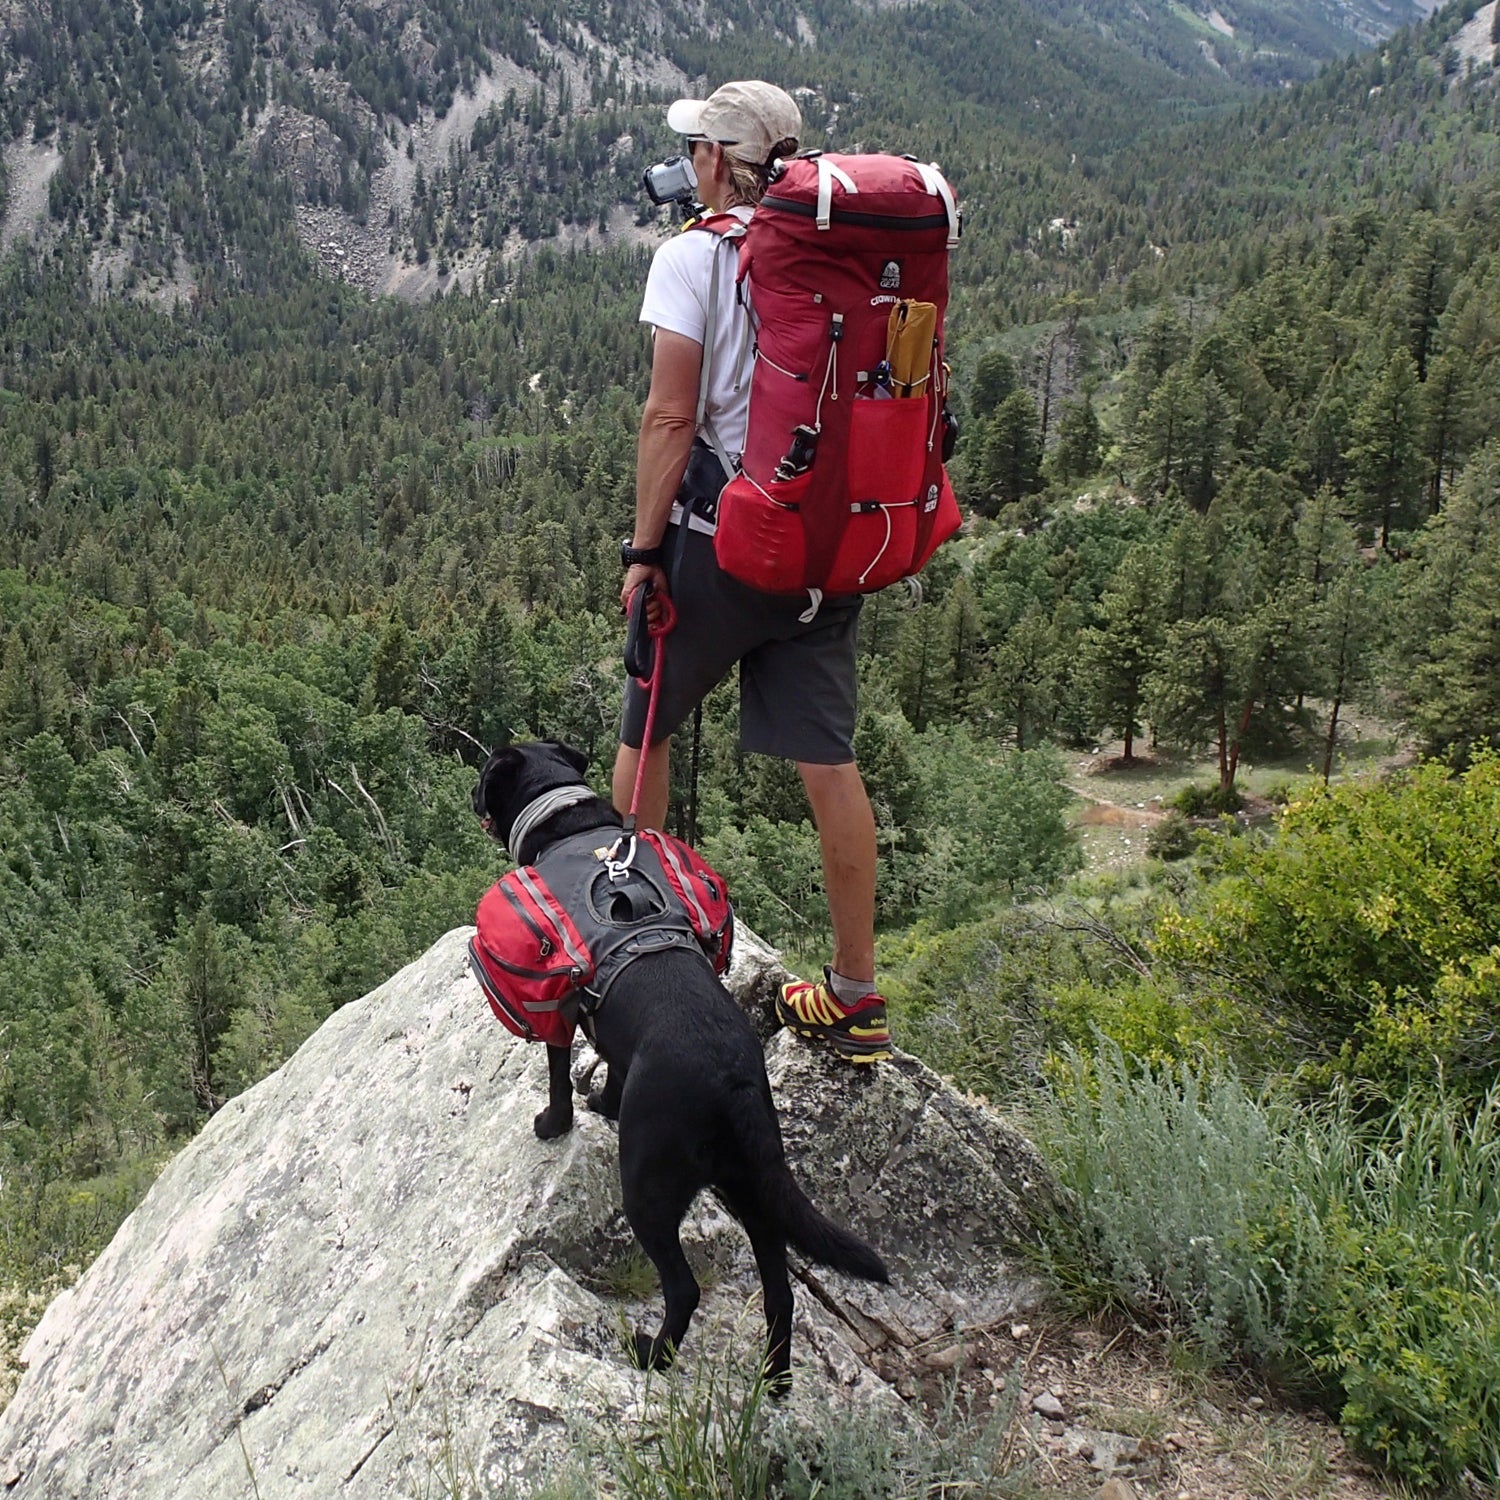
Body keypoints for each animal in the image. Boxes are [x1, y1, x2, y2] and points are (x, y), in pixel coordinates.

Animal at [471, 744, 888, 1386]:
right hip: (753, 1190)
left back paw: (652, 1355)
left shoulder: (560, 1016)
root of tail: (734, 1083)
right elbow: (610, 1074)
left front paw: (555, 1123)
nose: (472, 795)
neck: (567, 821)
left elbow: (558, 1077)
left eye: (487, 773)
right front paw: (603, 1103)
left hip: (647, 1189)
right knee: (781, 1292)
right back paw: (775, 1380)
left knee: (684, 1288)